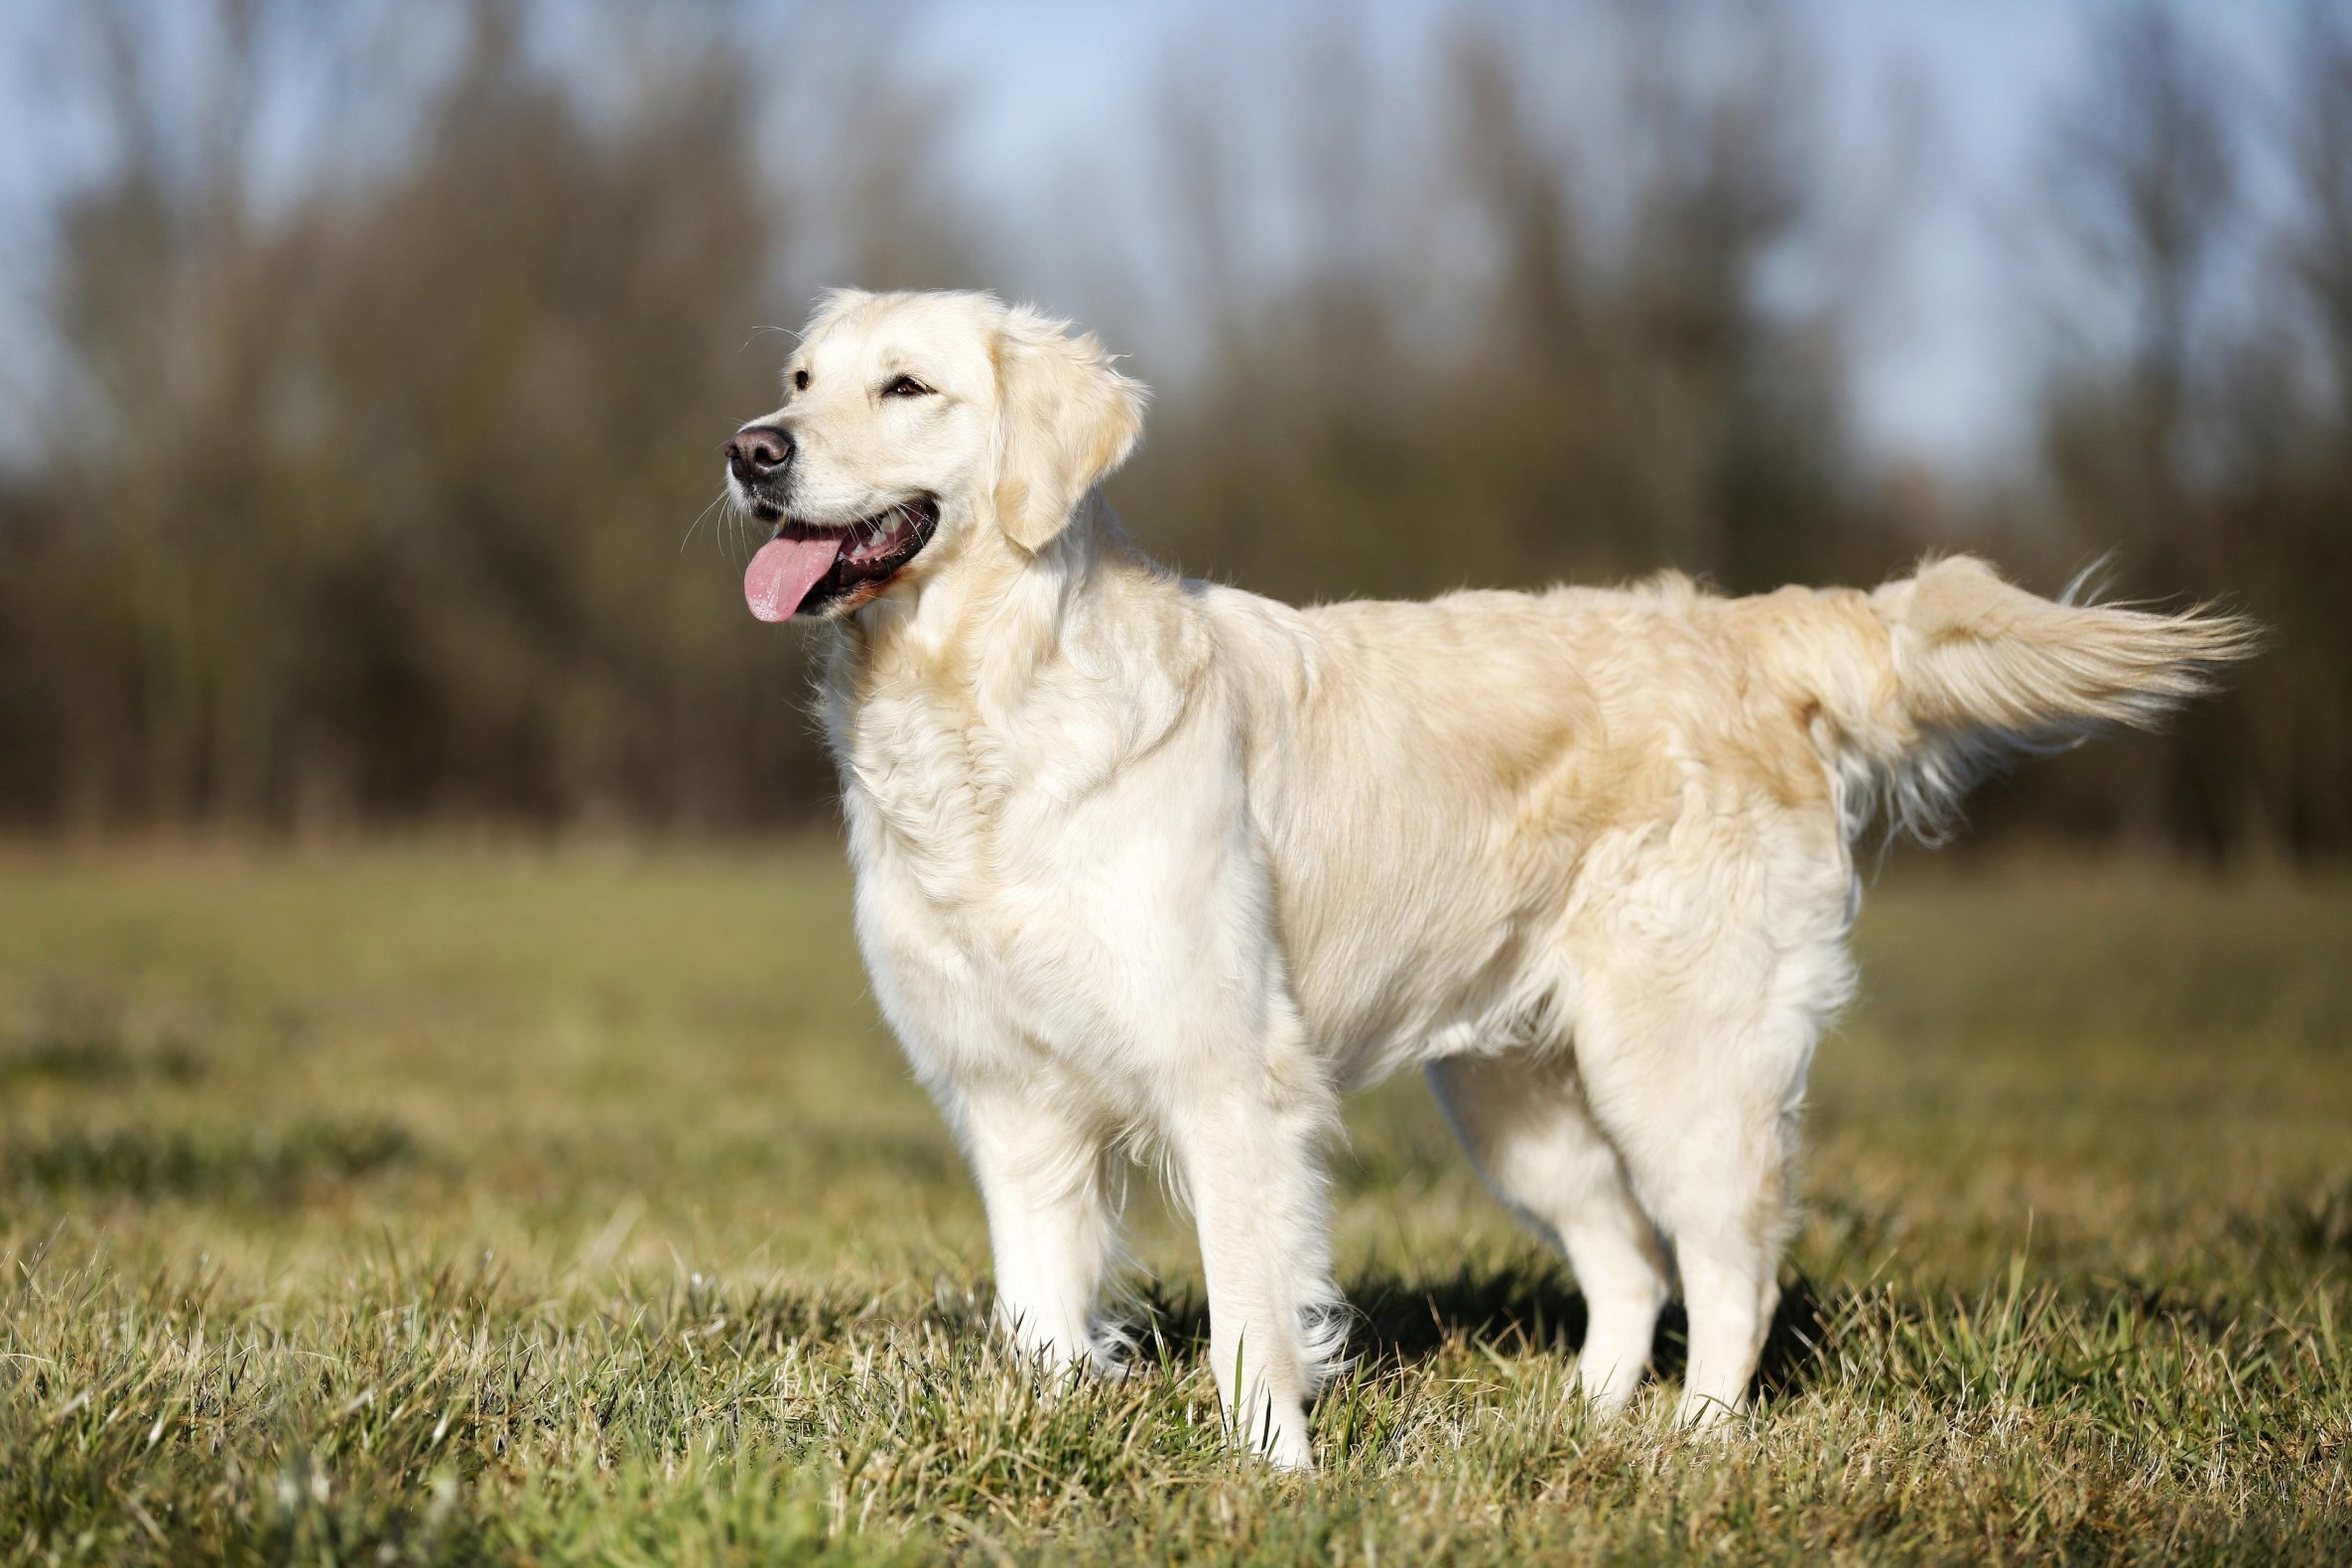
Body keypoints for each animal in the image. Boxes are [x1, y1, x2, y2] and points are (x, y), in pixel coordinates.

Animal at [719, 285, 2258, 1476]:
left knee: (1731, 1264)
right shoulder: (1012, 1100)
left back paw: (1696, 1440)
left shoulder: (1226, 1077)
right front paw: (1047, 1426)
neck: (985, 707)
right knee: (1630, 1261)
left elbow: (1250, 1316)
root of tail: (1742, 632)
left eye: (907, 385)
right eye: (798, 379)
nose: (750, 450)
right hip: (1517, 1091)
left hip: (1678, 1056)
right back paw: (1582, 1420)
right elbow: (1038, 1309)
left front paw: (1272, 1473)